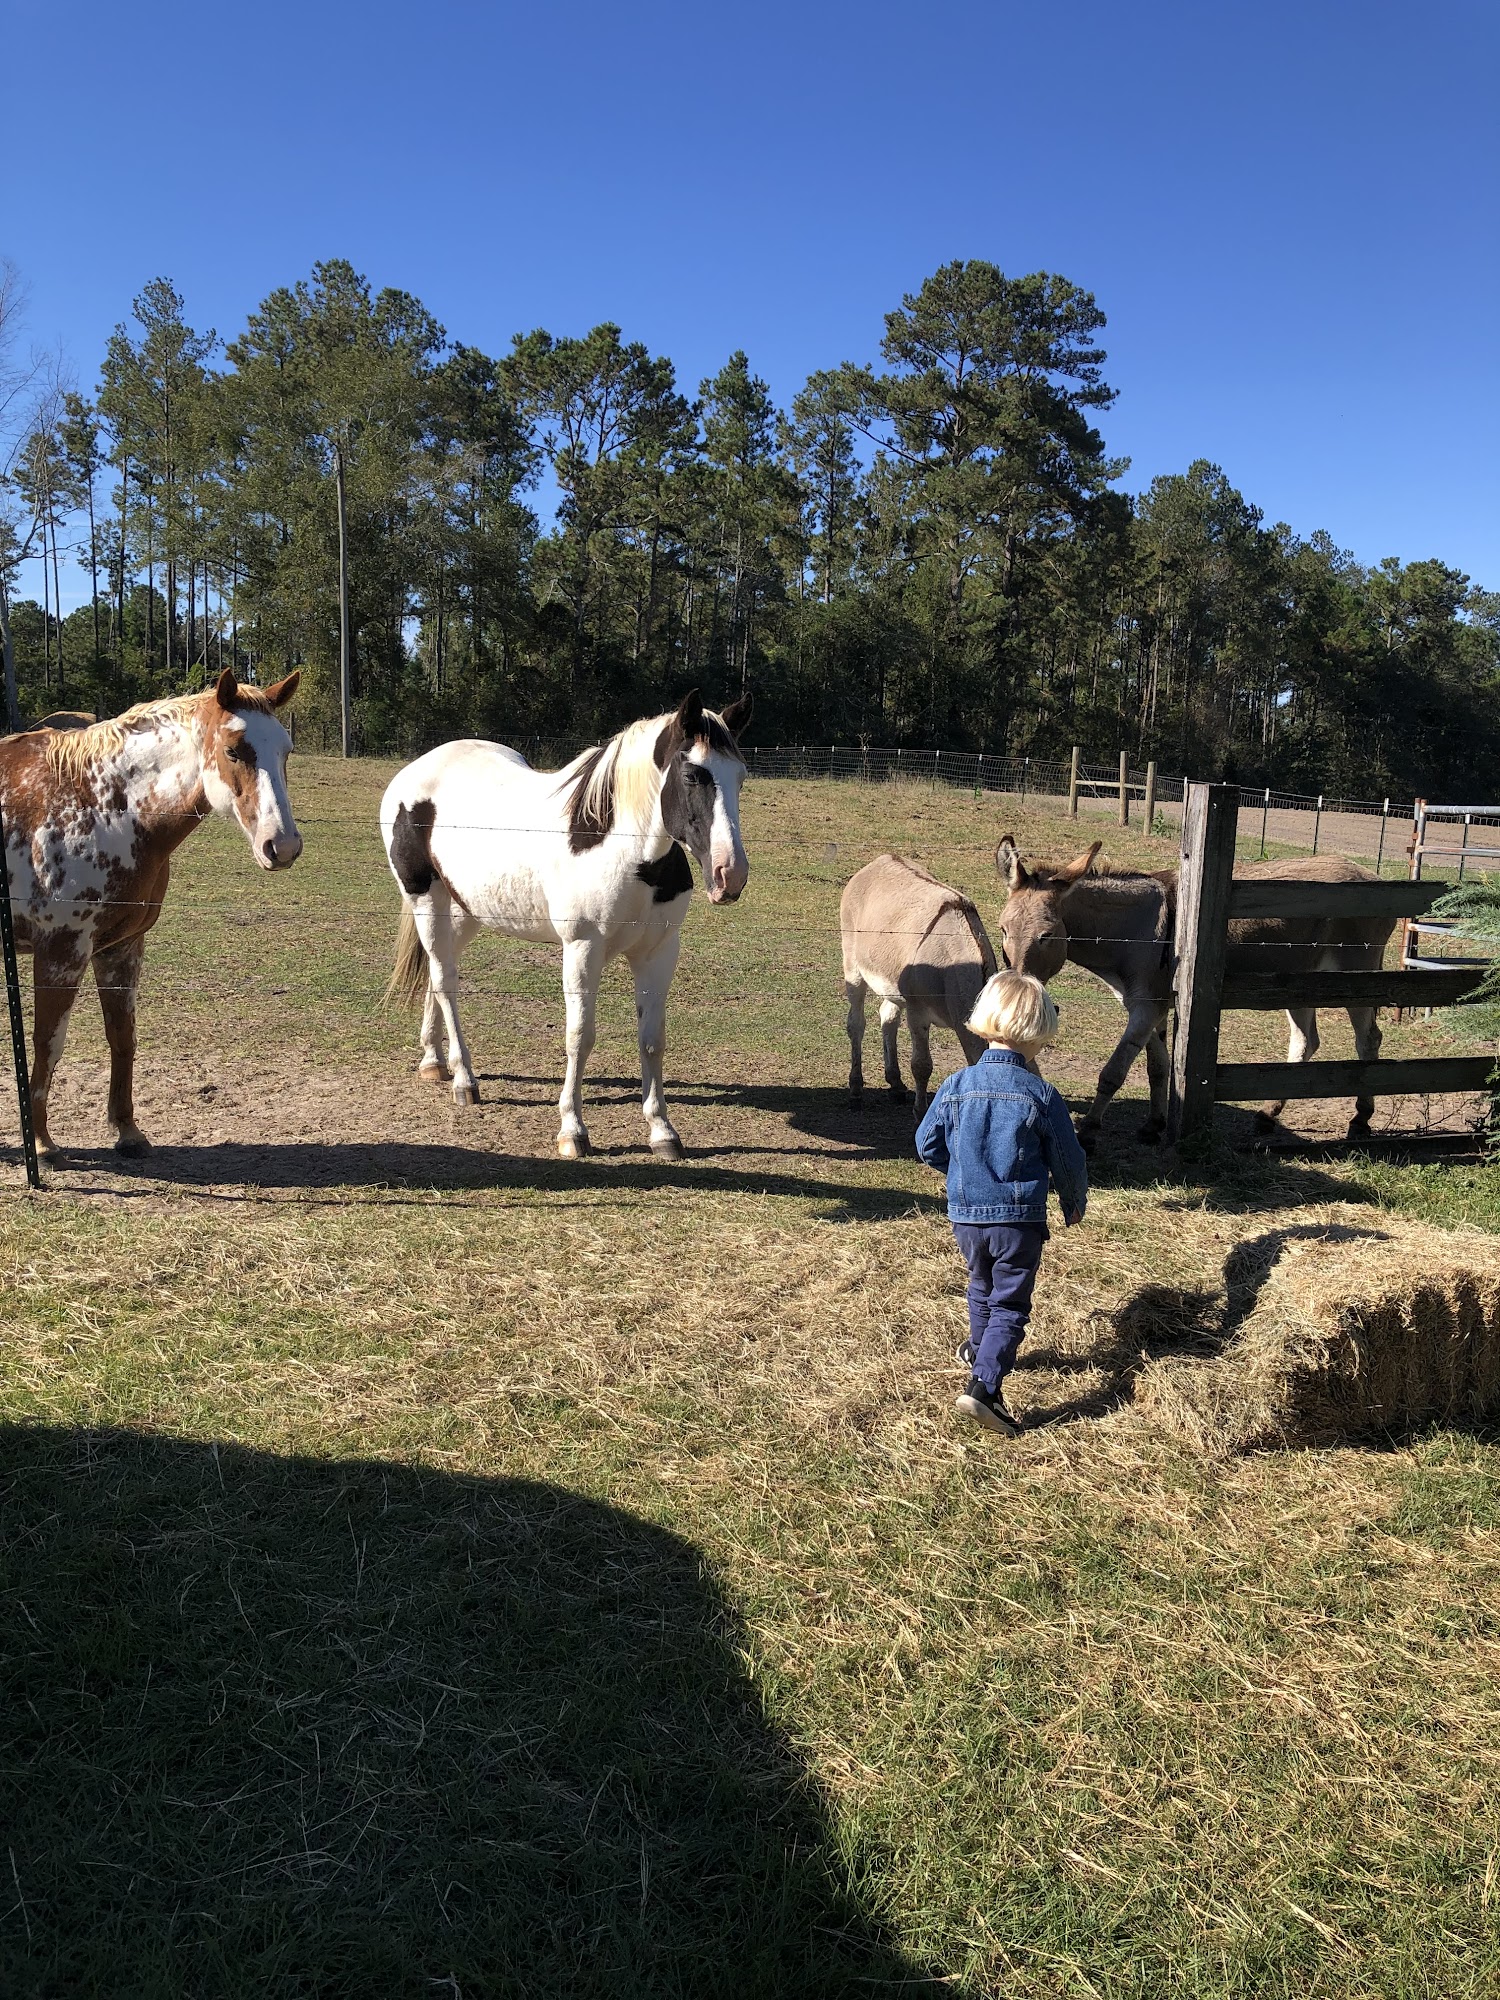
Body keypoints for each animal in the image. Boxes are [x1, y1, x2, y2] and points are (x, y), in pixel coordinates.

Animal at [0, 669, 302, 1159]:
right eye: (233, 750)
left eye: (285, 750)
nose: (284, 845)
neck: (100, 807)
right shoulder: (61, 951)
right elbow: (48, 1043)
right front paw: (42, 1141)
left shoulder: (120, 948)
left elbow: (122, 1037)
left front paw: (127, 1131)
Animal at [381, 690, 751, 1160]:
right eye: (691, 775)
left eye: (741, 777)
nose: (730, 875)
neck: (625, 852)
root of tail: (413, 773)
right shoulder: (582, 948)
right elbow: (580, 1037)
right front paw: (572, 1130)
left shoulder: (659, 951)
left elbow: (652, 1039)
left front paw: (662, 1131)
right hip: (427, 900)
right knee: (446, 983)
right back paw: (464, 1080)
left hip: (464, 910)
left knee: (435, 971)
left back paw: (433, 1062)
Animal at [840, 854, 997, 1116]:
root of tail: (881, 859)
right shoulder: (917, 1013)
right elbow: (922, 1066)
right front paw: (921, 1113)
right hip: (853, 965)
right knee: (856, 1024)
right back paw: (855, 1090)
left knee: (888, 1017)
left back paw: (895, 1084)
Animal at [995, 836, 1397, 1147]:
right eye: (1002, 929)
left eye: (1047, 935)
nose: (1017, 990)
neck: (1133, 931)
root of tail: (1372, 876)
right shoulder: (1149, 1004)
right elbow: (1158, 1067)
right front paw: (1153, 1126)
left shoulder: (1146, 1006)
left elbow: (1114, 1071)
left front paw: (1090, 1131)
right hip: (1299, 982)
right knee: (1306, 1041)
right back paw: (1268, 1114)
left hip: (1355, 976)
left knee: (1368, 1040)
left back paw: (1360, 1120)